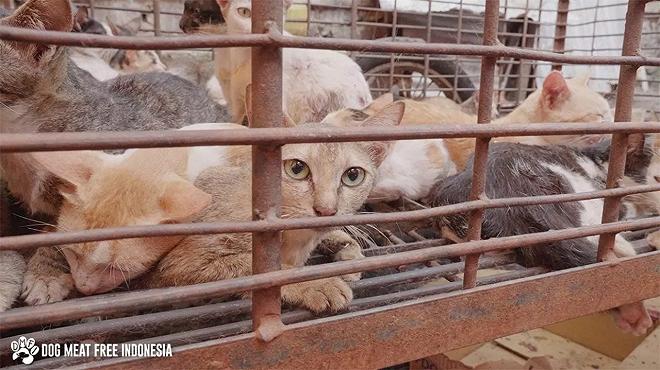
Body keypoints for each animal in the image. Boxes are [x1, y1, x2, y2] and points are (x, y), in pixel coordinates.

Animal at [21, 102, 408, 314]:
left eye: (352, 176)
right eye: (297, 169)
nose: (325, 209)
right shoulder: (173, 270)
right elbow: (256, 268)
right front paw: (315, 284)